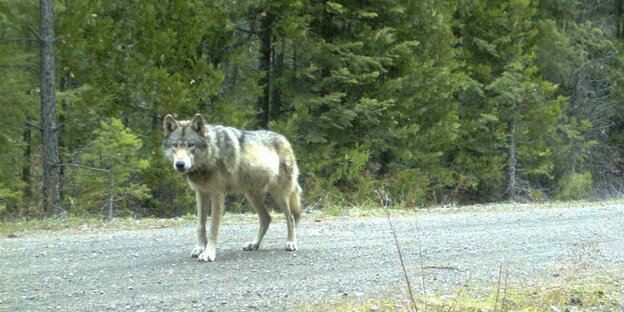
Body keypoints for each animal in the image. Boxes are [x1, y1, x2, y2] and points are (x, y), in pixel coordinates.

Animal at [162, 114, 302, 260]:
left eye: (190, 145)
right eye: (175, 145)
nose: (180, 164)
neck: (213, 153)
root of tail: (285, 139)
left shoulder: (217, 195)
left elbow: (213, 228)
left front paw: (208, 254)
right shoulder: (201, 193)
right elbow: (200, 226)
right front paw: (200, 248)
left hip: (279, 195)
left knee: (291, 218)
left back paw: (291, 242)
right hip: (252, 196)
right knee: (267, 218)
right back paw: (254, 244)